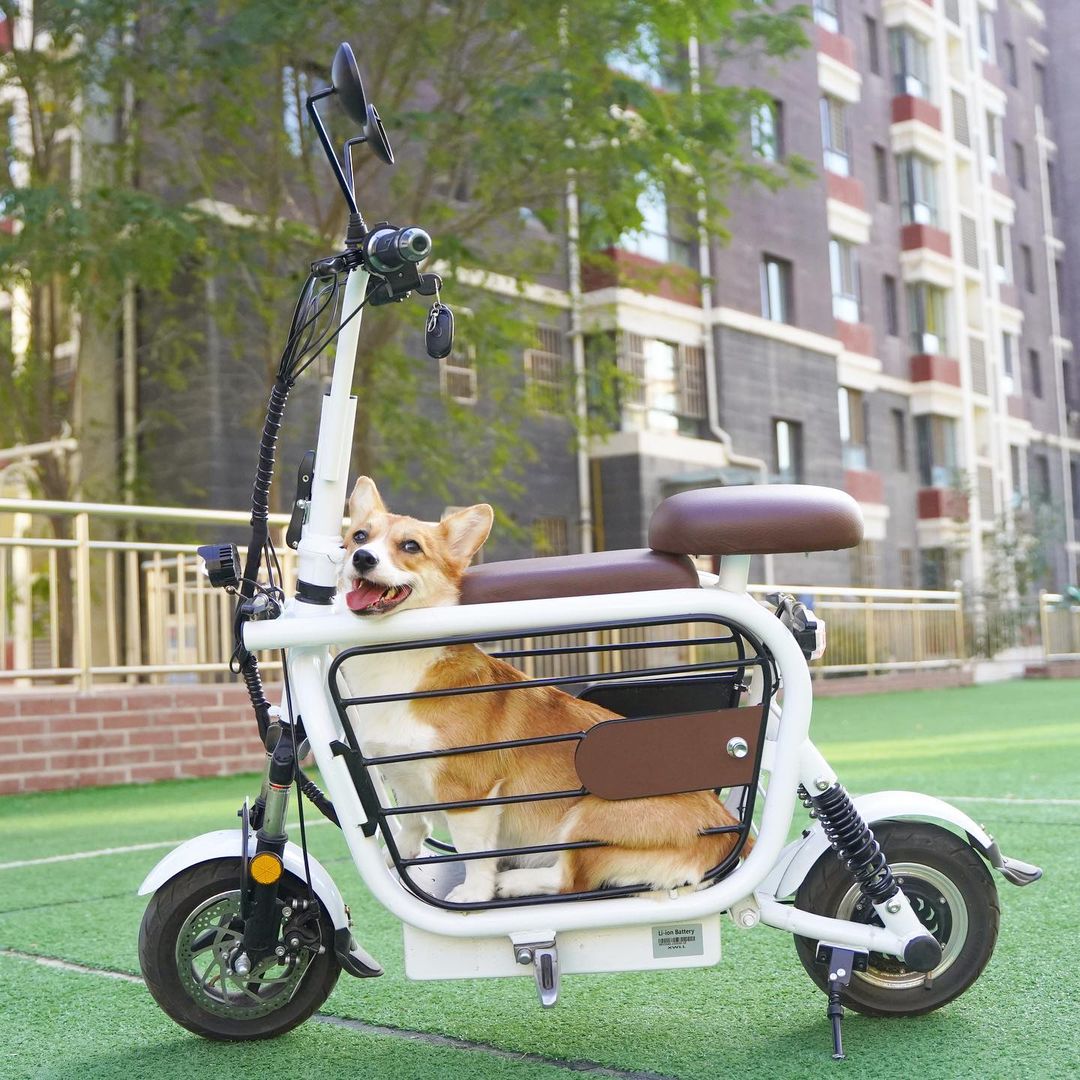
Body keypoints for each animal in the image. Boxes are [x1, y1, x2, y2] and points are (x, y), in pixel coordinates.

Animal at [341, 477, 747, 907]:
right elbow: (411, 823)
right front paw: (398, 852)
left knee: (571, 881)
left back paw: (515, 882)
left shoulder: (469, 794)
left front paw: (474, 894)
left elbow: (475, 854)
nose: (362, 558)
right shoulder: (403, 775)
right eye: (359, 536)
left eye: (410, 546)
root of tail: (728, 833)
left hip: (589, 814)